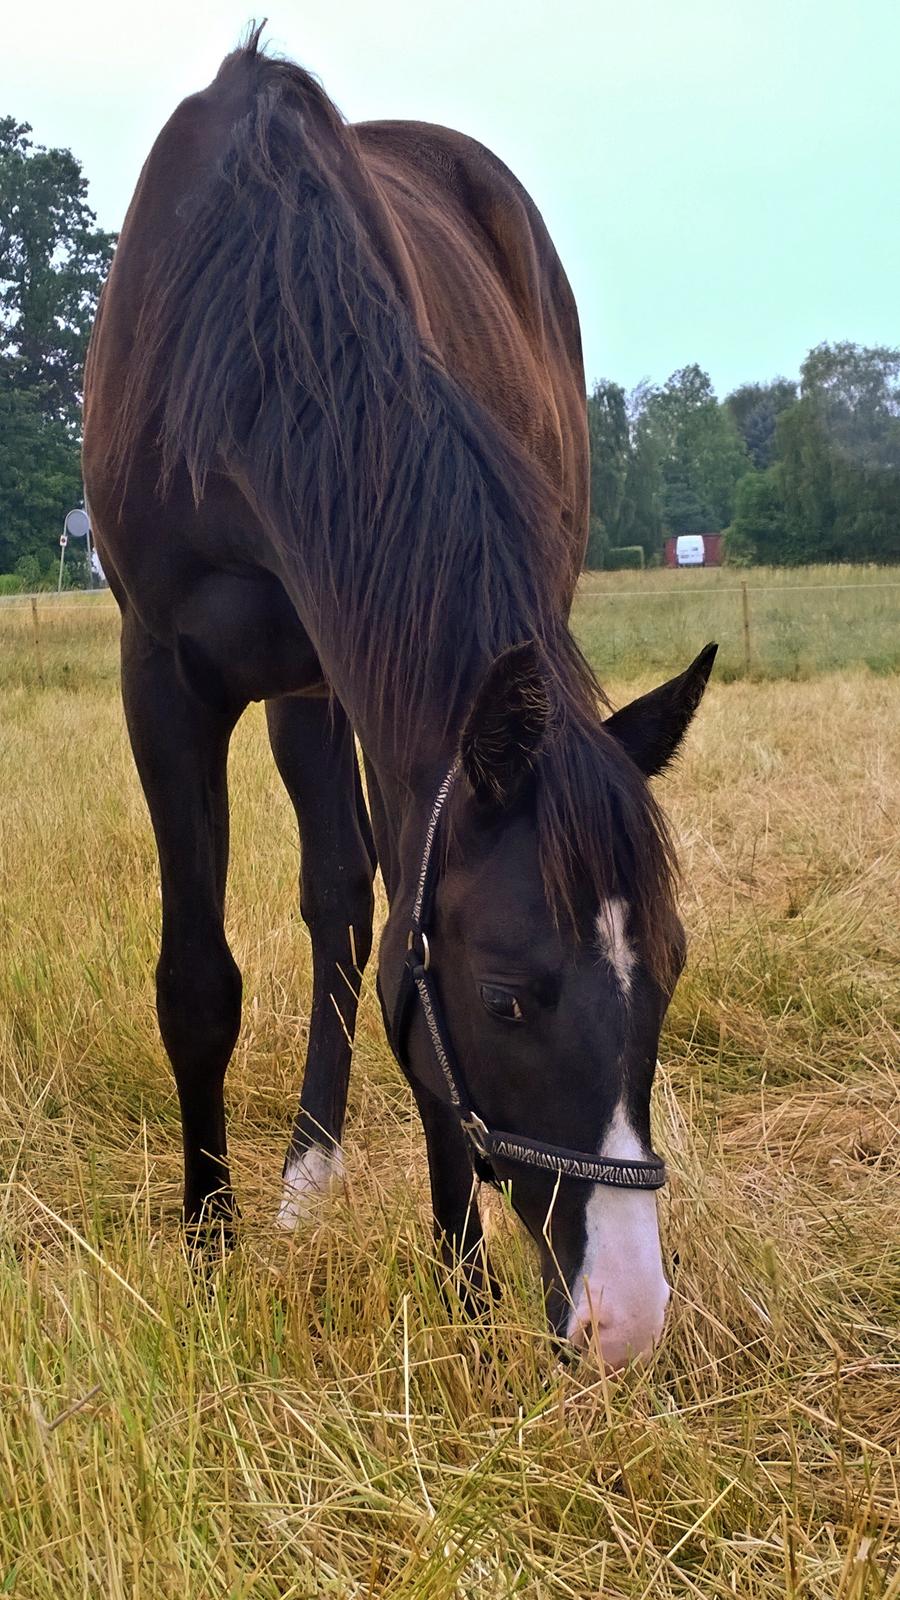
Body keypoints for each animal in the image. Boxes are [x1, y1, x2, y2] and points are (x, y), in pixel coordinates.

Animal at [84, 31, 714, 1369]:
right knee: (332, 893)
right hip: (298, 693)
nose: (626, 1317)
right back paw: (299, 1178)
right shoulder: (161, 674)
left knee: (341, 893)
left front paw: (461, 1284)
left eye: (673, 968)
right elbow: (198, 981)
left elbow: (391, 957)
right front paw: (209, 1254)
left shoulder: (393, 695)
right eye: (510, 996)